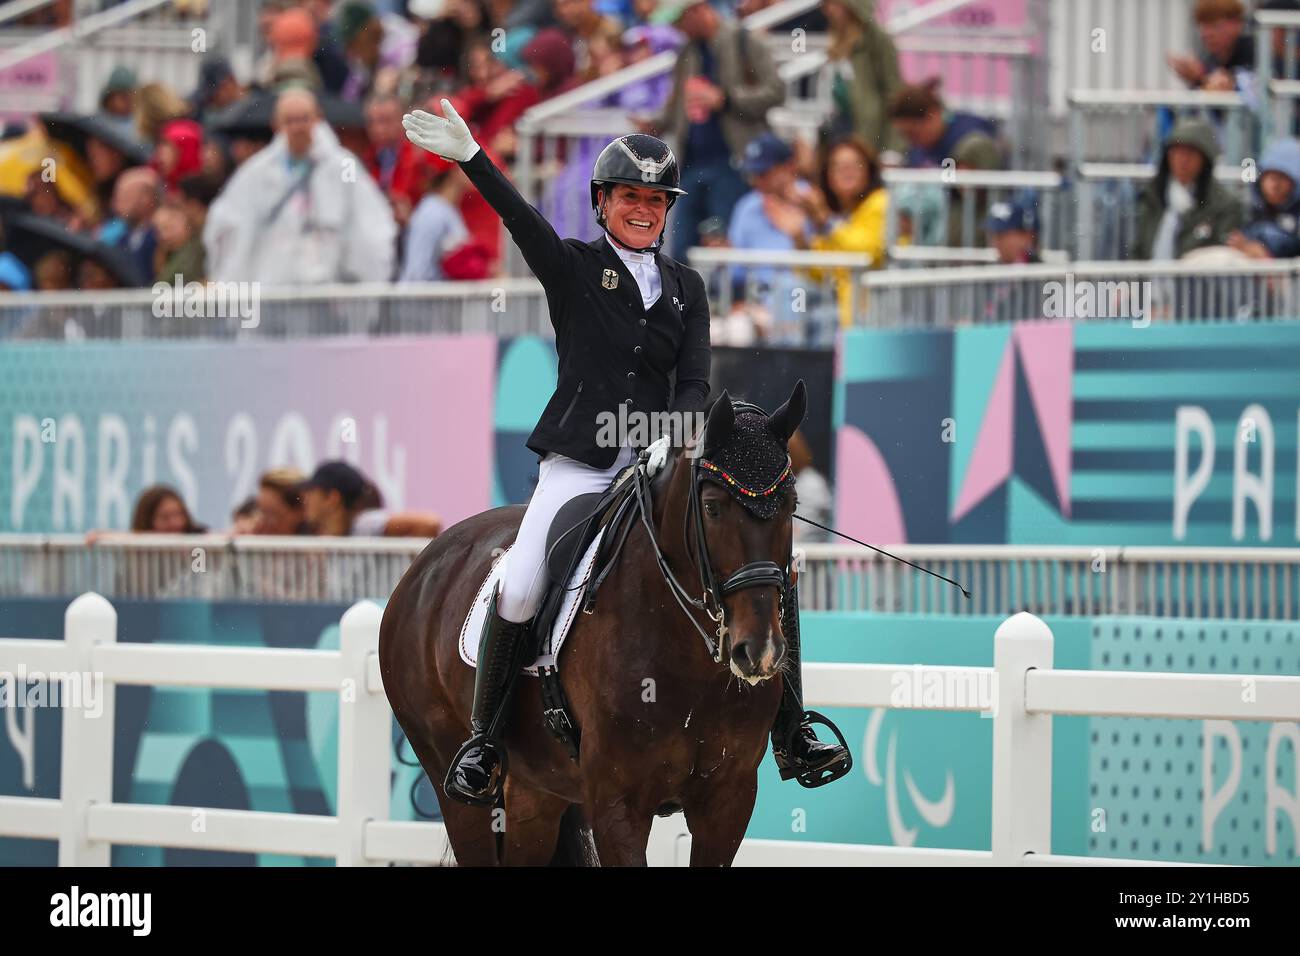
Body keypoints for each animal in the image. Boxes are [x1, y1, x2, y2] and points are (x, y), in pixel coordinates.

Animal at [377, 382, 806, 868]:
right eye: (713, 508)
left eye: (791, 505)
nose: (760, 652)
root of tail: (423, 565)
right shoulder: (617, 802)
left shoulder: (729, 798)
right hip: (457, 789)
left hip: (535, 793)